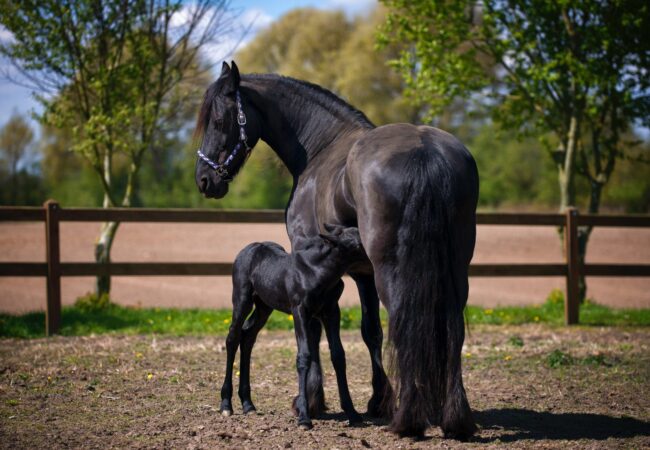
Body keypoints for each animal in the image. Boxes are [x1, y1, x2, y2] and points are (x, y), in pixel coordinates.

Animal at [220, 227, 368, 428]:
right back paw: (226, 404)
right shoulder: (299, 311)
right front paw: (304, 417)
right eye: (358, 243)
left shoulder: (331, 312)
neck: (317, 272)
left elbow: (338, 355)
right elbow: (304, 356)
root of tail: (248, 249)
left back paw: (248, 404)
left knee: (248, 336)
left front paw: (352, 413)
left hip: (264, 306)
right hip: (242, 299)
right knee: (233, 338)